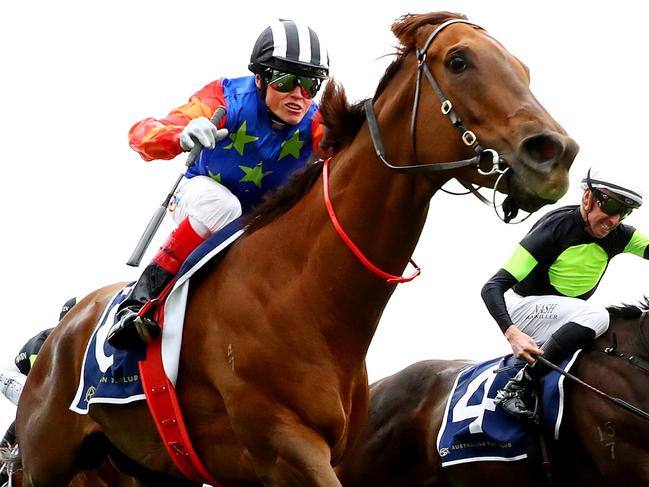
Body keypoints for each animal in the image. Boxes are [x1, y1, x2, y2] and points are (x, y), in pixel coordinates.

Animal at [15, 11, 576, 487]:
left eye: (524, 70)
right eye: (459, 61)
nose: (557, 153)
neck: (305, 294)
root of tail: (64, 327)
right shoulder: (286, 449)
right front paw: (192, 132)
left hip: (141, 466)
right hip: (44, 459)